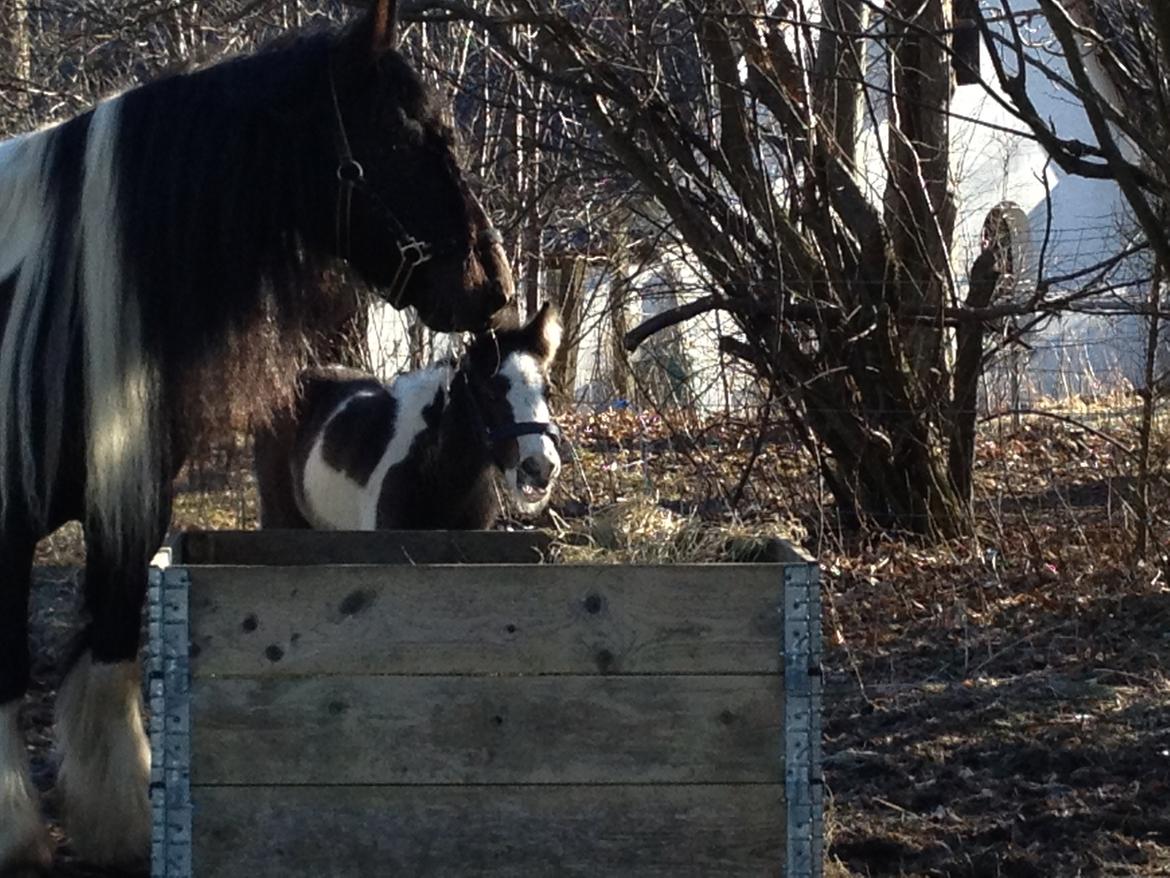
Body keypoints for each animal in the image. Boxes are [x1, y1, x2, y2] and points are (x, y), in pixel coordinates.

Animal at [0, 0, 514, 875]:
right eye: (417, 134)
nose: (495, 285)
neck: (54, 302)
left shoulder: (126, 508)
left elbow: (112, 653)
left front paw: (124, 829)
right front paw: (16, 836)